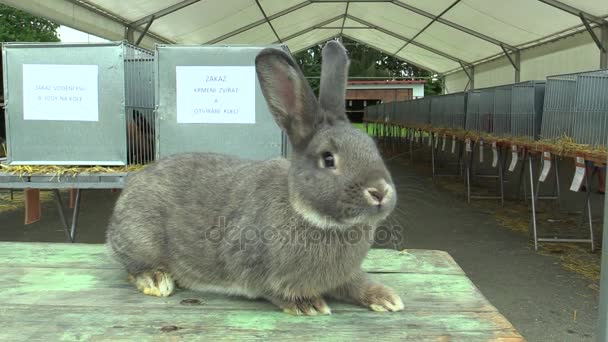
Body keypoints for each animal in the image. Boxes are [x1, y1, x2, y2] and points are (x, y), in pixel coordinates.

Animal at [105, 41, 404, 316]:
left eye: (372, 147)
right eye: (328, 159)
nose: (380, 192)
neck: (305, 211)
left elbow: (355, 283)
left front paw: (387, 298)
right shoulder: (249, 263)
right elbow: (271, 289)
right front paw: (307, 304)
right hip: (141, 238)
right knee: (132, 265)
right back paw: (156, 279)